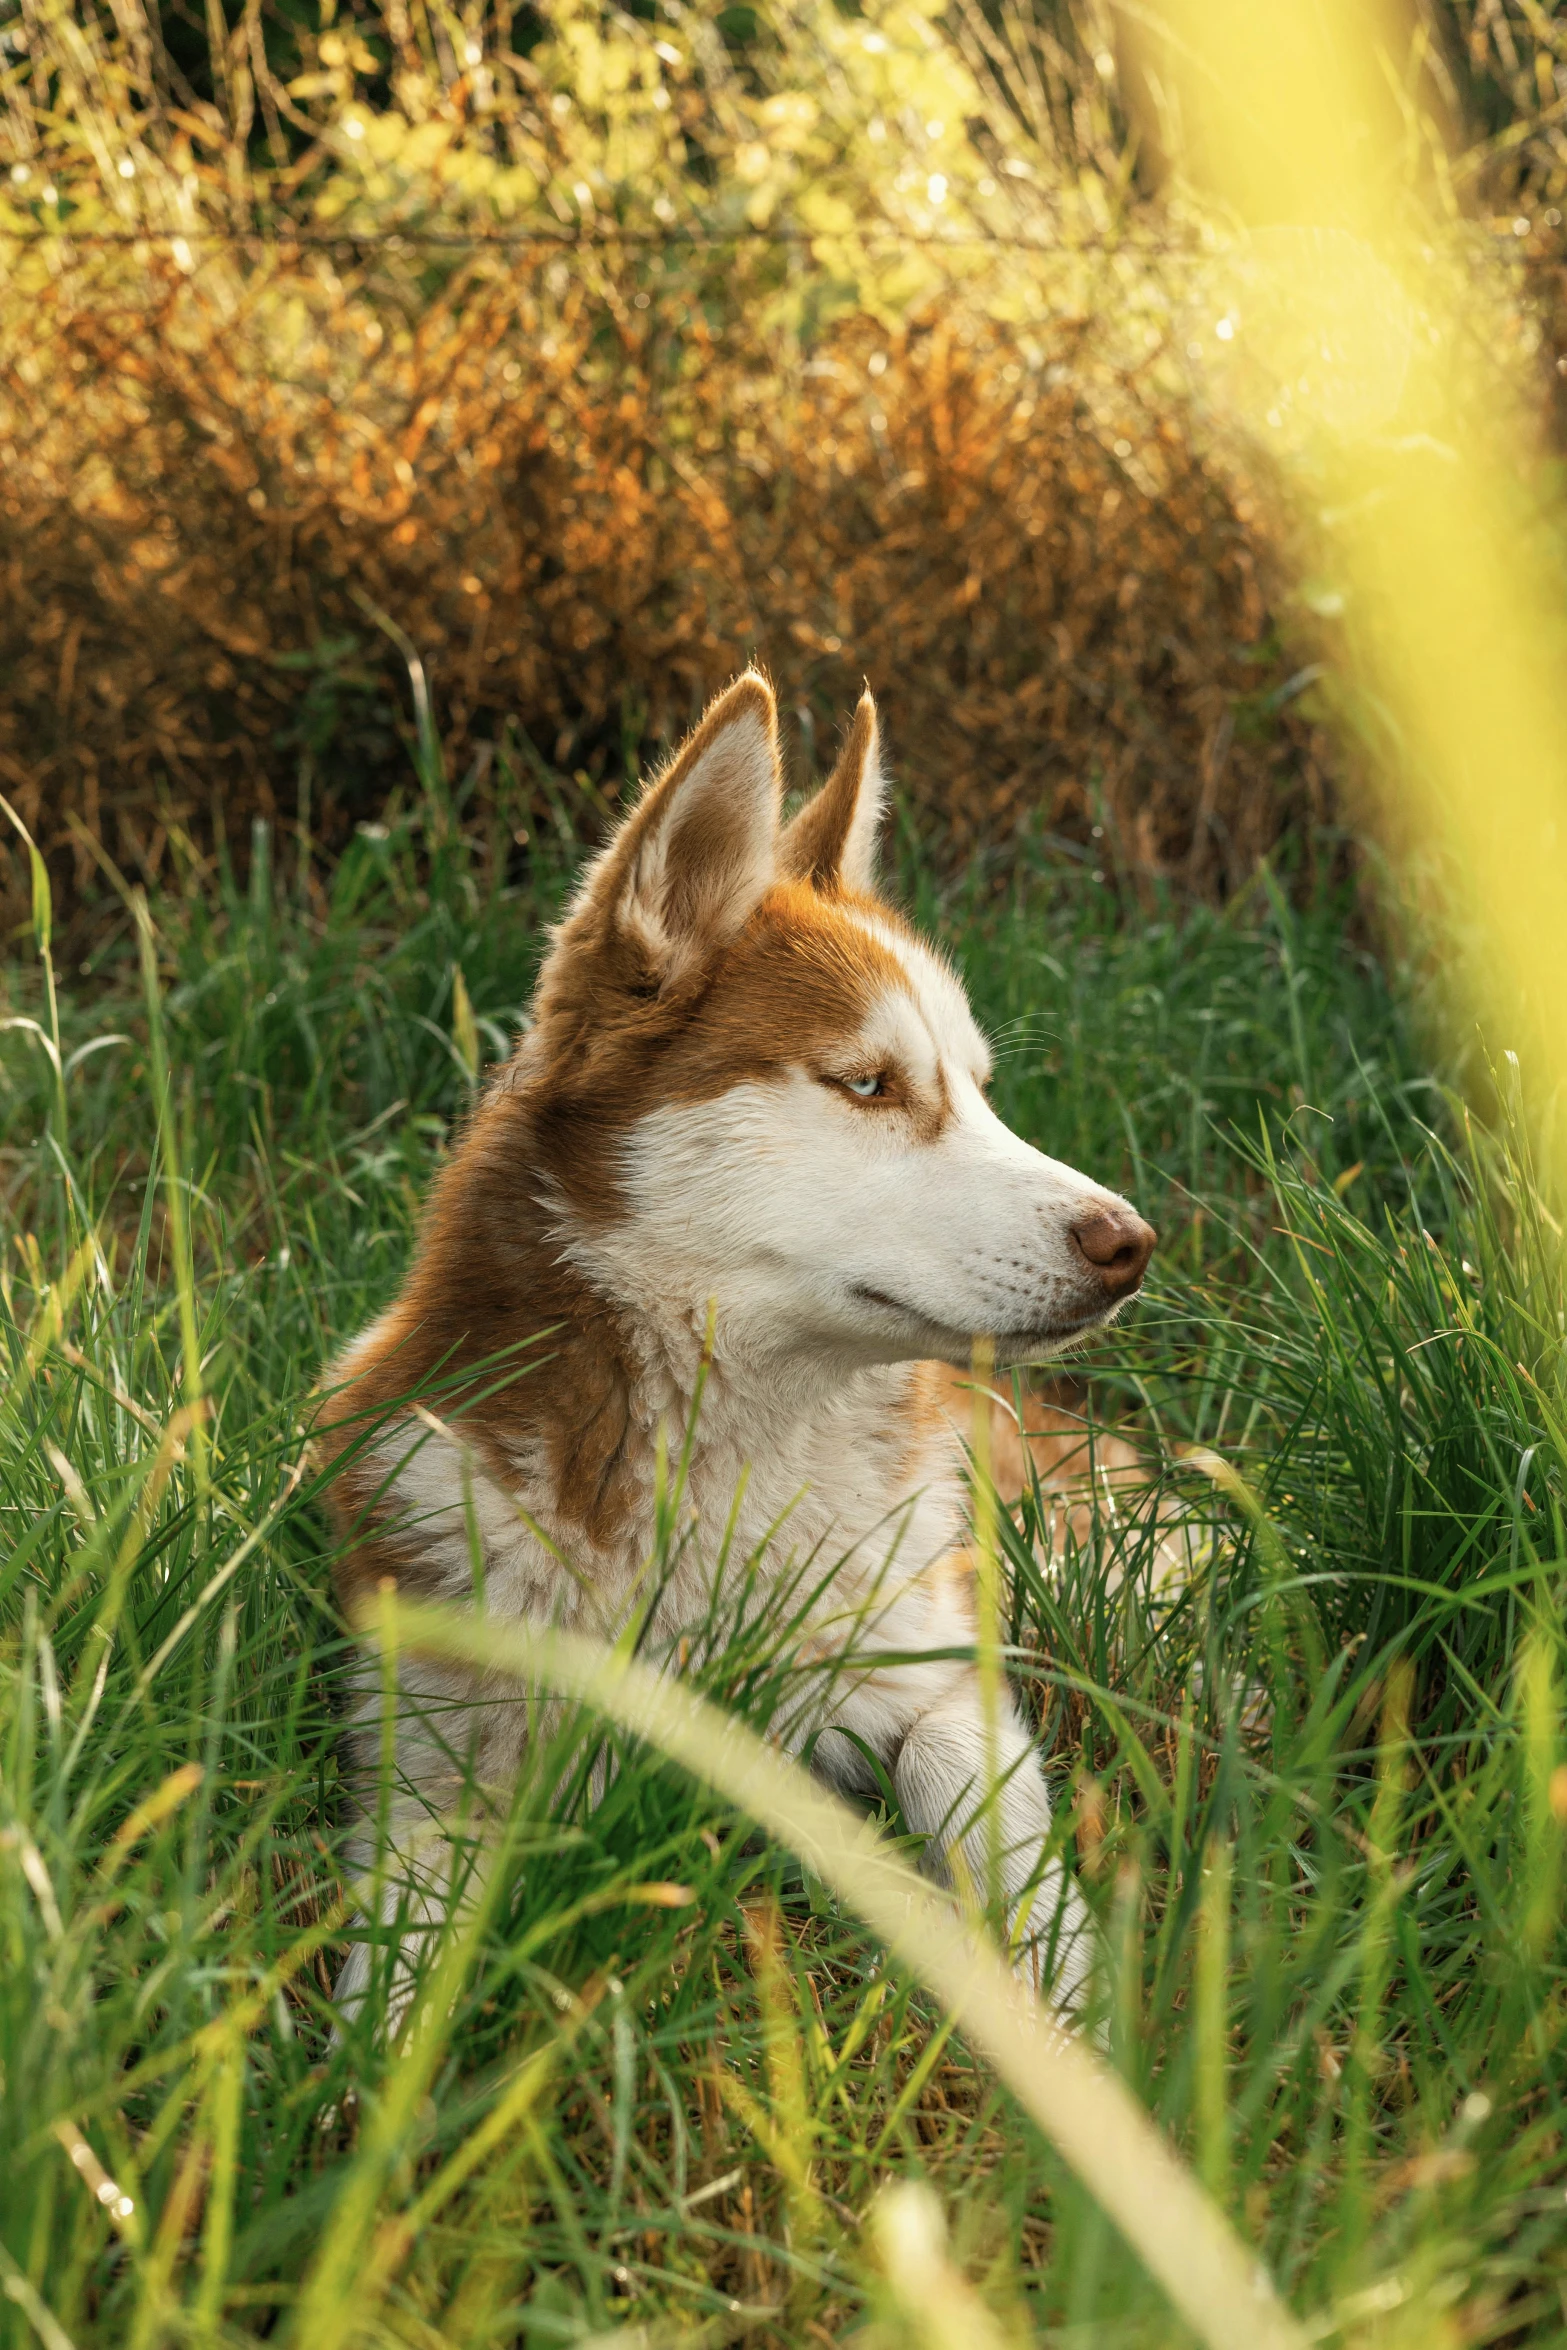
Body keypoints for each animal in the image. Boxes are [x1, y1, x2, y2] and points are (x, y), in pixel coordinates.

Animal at [314, 676, 1151, 2020]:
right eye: (868, 1084)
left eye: (976, 1088)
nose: (1131, 1242)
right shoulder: (434, 1754)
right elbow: (395, 1958)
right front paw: (370, 2068)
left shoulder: (931, 1674)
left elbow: (988, 1818)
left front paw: (1066, 2013)